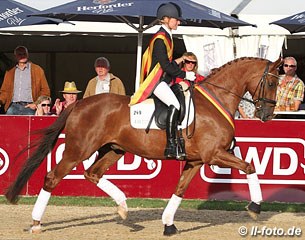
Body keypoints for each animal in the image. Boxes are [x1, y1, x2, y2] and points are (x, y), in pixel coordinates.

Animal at [5, 56, 280, 236]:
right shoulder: (214, 154)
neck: (217, 99)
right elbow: (250, 167)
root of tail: (79, 104)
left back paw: (124, 207)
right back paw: (37, 223)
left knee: (92, 173)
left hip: (114, 150)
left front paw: (168, 224)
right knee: (53, 178)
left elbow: (180, 190)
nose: (267, 115)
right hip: (78, 150)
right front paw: (255, 206)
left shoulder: (196, 160)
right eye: (271, 83)